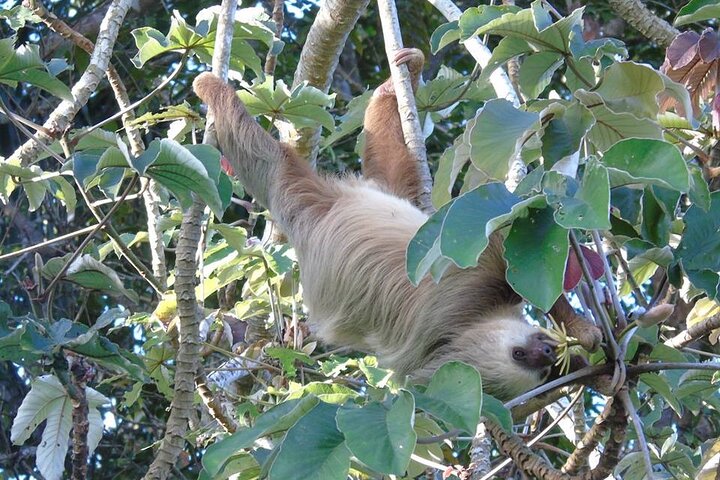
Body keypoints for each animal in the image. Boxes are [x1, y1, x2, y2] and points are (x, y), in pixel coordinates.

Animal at [193, 48, 601, 400]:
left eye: (542, 368)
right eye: (520, 356)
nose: (546, 353)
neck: (462, 326)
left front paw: (588, 367)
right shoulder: (472, 278)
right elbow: (511, 257)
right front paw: (583, 331)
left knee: (388, 165)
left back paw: (398, 81)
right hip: (307, 200)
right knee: (269, 160)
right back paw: (212, 89)